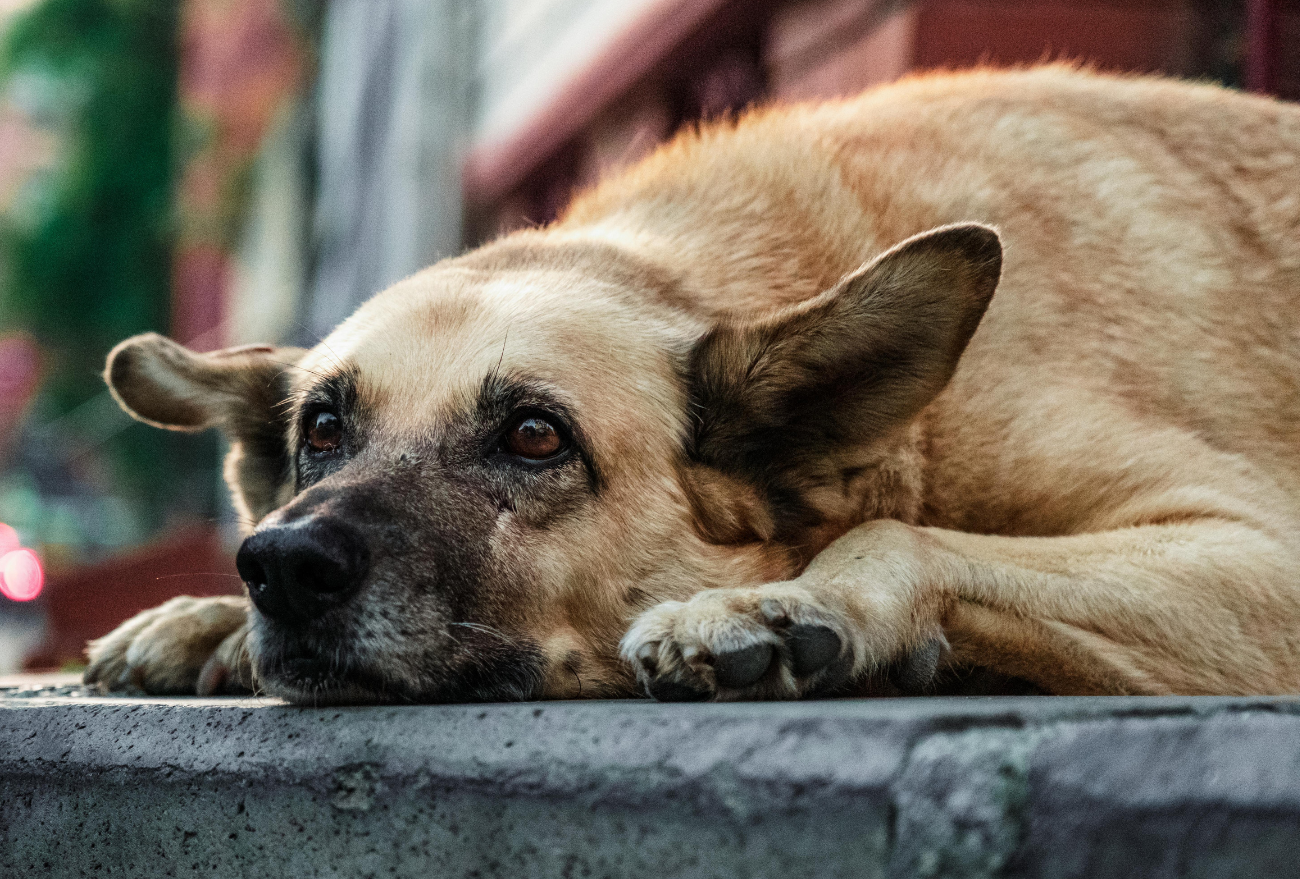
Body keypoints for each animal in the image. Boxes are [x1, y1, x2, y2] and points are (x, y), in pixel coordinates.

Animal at [81, 65, 1300, 702]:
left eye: (536, 436)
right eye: (323, 431)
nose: (280, 566)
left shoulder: (1258, 551)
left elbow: (900, 535)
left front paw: (786, 602)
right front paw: (207, 621)